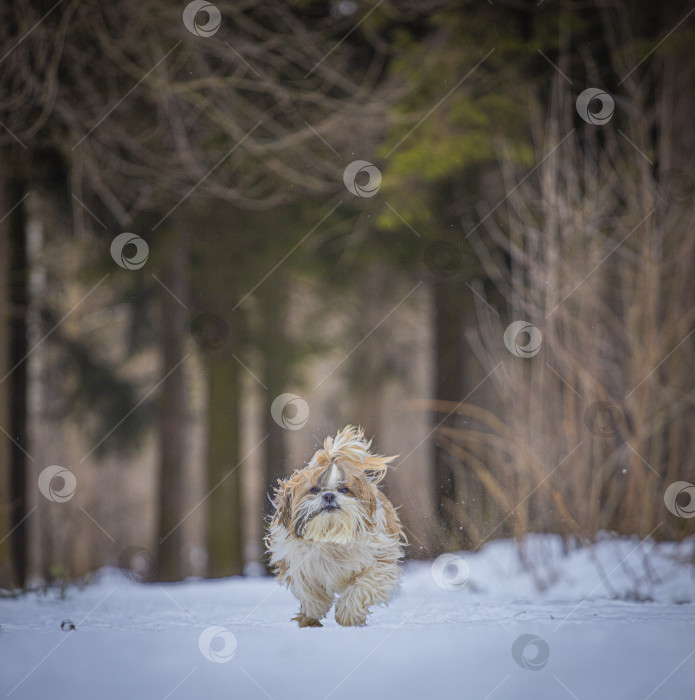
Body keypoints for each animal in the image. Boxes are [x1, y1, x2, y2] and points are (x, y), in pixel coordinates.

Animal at [266, 426, 408, 628]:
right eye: (315, 489)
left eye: (344, 489)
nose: (329, 496)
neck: (332, 538)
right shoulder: (299, 563)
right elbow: (310, 592)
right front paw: (312, 613)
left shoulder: (380, 562)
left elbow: (363, 586)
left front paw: (348, 614)